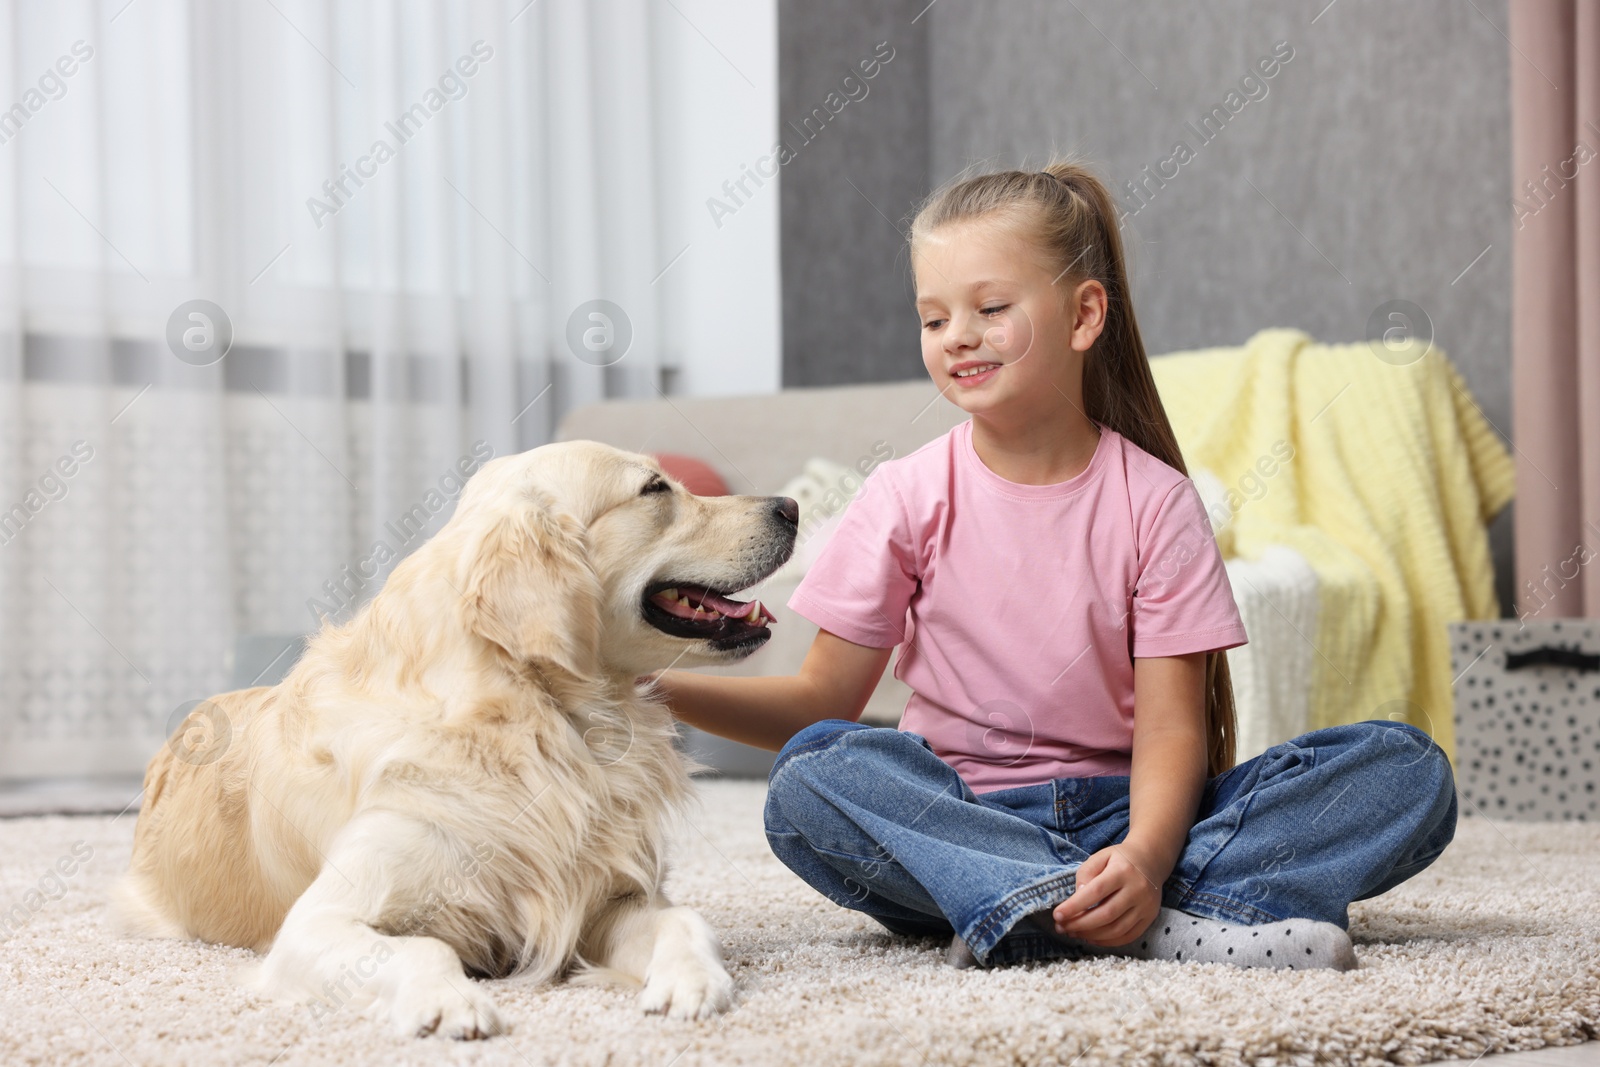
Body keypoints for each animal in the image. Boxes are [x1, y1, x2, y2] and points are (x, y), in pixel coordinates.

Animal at [116, 438, 800, 1036]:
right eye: (654, 489)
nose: (791, 508)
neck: (540, 720)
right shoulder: (318, 922)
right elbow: (424, 949)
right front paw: (450, 1003)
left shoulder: (611, 897)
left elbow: (682, 920)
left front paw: (691, 981)